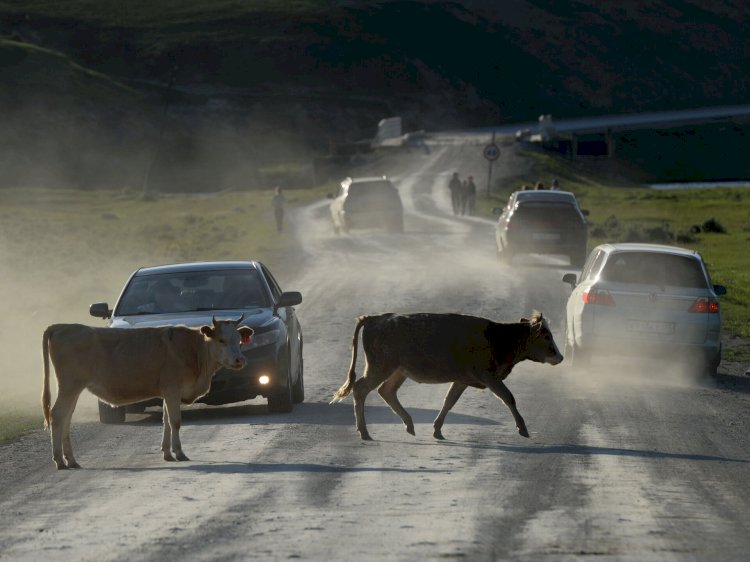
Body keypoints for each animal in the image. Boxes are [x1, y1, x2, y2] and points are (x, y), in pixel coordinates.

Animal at [41, 316, 253, 468]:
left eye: (239, 340)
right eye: (221, 340)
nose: (240, 360)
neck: (192, 349)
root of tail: (61, 326)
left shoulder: (167, 393)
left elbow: (166, 421)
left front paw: (167, 453)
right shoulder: (172, 389)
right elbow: (175, 422)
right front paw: (179, 452)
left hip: (73, 389)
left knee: (66, 418)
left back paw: (70, 459)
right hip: (69, 386)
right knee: (57, 415)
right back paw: (59, 460)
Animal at [332, 310, 568, 438]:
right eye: (547, 336)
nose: (560, 357)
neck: (499, 338)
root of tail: (375, 318)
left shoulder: (462, 380)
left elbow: (449, 401)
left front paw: (437, 429)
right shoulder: (489, 377)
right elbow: (508, 397)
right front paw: (523, 428)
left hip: (397, 371)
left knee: (386, 391)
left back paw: (408, 424)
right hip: (380, 367)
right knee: (361, 389)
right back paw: (364, 432)